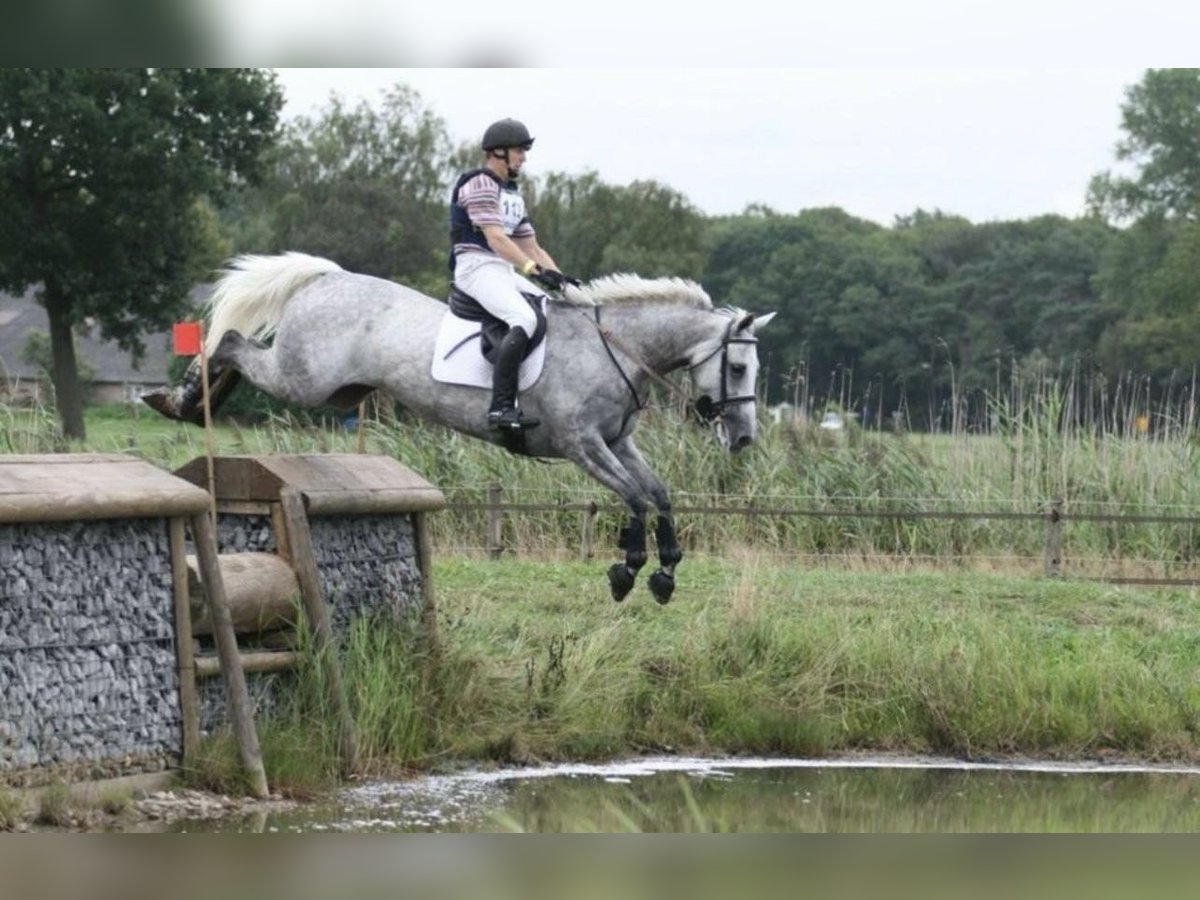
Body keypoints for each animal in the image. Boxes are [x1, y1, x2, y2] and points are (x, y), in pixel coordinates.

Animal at [142, 254, 777, 607]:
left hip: (335, 390)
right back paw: (183, 398)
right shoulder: (582, 445)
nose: (745, 439)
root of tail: (326, 279)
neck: (613, 347)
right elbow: (635, 498)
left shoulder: (618, 442)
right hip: (304, 380)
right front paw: (627, 571)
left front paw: (665, 572)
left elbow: (659, 493)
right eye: (738, 368)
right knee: (230, 341)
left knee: (239, 348)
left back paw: (188, 399)